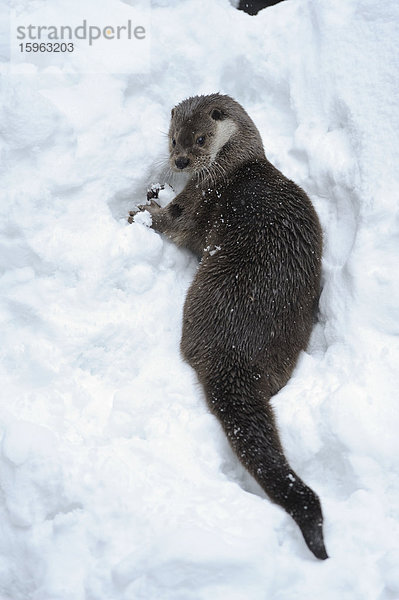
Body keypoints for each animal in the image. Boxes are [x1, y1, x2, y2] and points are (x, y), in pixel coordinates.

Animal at [130, 92, 330, 556]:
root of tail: (236, 355)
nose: (180, 161)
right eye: (173, 138)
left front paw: (144, 210)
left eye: (200, 138)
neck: (235, 164)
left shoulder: (203, 194)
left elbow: (176, 225)